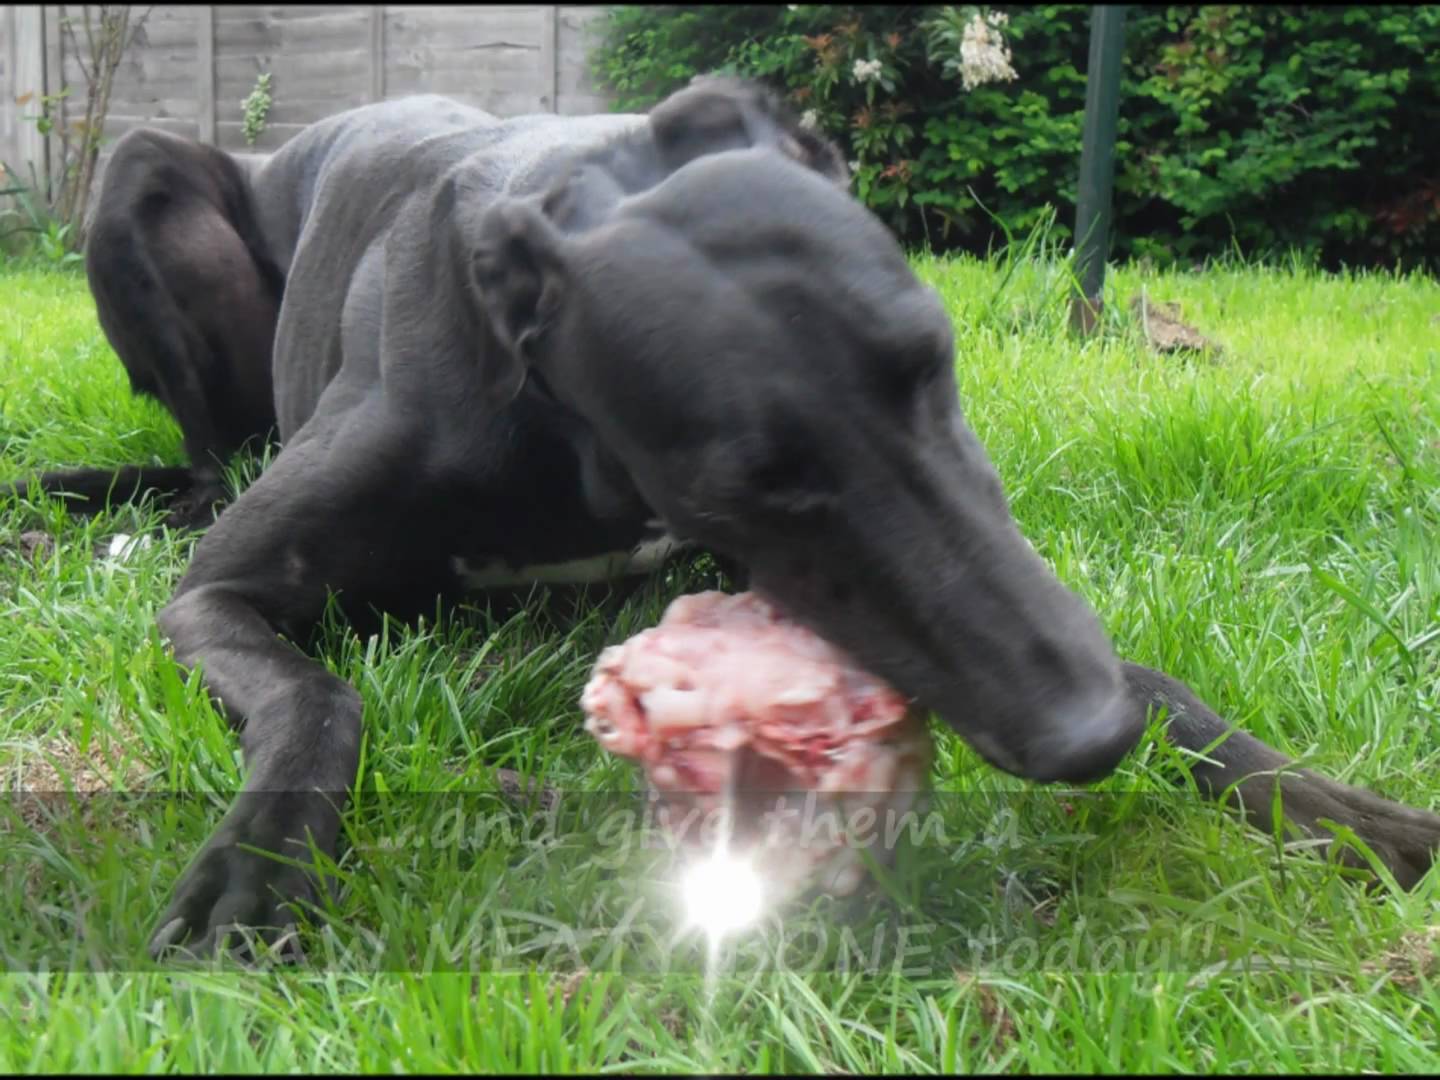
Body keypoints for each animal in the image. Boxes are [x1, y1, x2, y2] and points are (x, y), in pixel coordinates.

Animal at [5, 78, 1434, 956]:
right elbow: (316, 695)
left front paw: (1339, 811)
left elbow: (1152, 668)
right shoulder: (219, 595)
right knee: (198, 475)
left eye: (934, 362)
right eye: (753, 479)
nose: (1090, 737)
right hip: (143, 184)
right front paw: (253, 870)